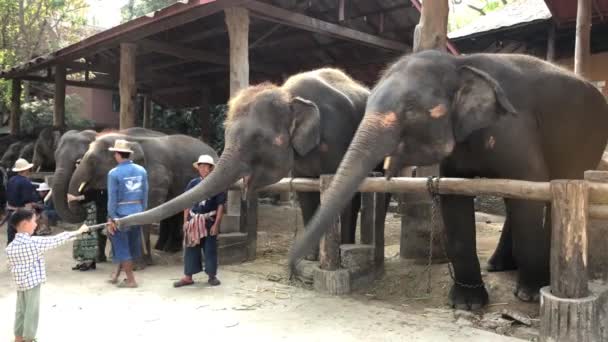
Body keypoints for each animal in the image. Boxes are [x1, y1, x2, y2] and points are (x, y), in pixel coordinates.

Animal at [65, 131, 217, 260]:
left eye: (92, 160)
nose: (78, 199)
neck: (131, 140)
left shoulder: (156, 174)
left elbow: (146, 207)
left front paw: (138, 265)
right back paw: (167, 249)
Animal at [113, 67, 388, 256]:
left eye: (258, 139)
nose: (112, 224)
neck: (288, 94)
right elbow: (306, 193)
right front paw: (309, 257)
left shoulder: (339, 137)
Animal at [288, 50, 608, 310]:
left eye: (410, 109)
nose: (292, 267)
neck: (459, 63)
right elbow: (455, 197)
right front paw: (467, 303)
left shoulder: (514, 127)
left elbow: (529, 188)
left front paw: (528, 295)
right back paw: (497, 265)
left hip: (589, 140)